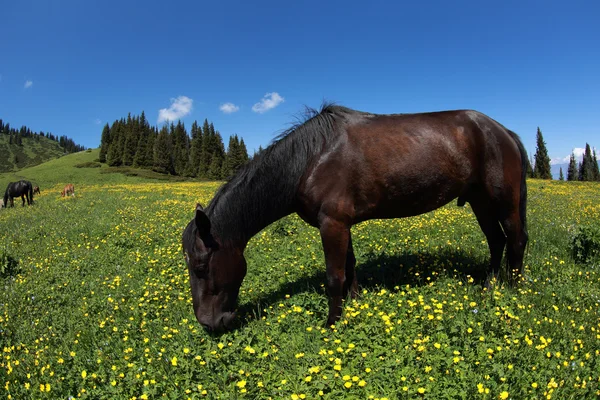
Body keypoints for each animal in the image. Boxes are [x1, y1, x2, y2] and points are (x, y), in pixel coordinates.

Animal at [180, 104, 528, 332]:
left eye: (201, 267)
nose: (209, 324)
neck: (311, 159)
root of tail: (503, 131)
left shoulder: (332, 223)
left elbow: (334, 277)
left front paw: (331, 324)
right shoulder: (341, 224)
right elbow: (350, 266)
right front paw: (355, 304)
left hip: (504, 200)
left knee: (516, 240)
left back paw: (514, 292)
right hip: (480, 202)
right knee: (496, 240)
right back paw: (488, 286)